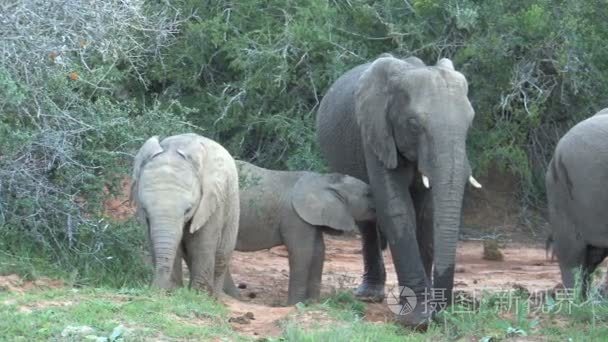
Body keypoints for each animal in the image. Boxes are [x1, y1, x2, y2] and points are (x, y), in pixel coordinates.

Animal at [131, 132, 240, 296]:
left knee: (221, 256)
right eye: (144, 209)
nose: (153, 288)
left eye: (188, 210)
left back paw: (214, 298)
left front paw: (198, 296)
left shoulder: (211, 202)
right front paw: (172, 291)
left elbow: (202, 243)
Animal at [223, 160, 376, 304]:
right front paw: (294, 304)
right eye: (368, 194)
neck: (325, 180)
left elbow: (319, 251)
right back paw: (234, 297)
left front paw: (312, 303)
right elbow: (302, 252)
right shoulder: (295, 217)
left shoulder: (311, 218)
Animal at [316, 52, 482, 328]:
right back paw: (369, 295)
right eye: (414, 124)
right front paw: (418, 319)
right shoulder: (375, 133)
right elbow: (397, 209)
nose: (443, 311)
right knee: (367, 222)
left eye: (470, 123)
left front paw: (430, 308)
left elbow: (427, 215)